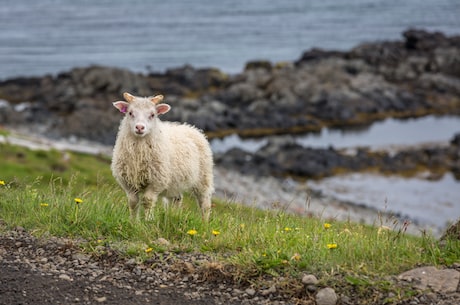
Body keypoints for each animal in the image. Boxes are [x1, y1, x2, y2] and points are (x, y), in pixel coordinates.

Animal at [111, 91, 214, 220]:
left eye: (152, 115)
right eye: (130, 113)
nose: (139, 127)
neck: (139, 154)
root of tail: (192, 127)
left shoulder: (156, 180)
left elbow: (148, 201)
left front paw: (148, 220)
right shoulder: (128, 182)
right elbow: (133, 202)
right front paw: (133, 221)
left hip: (203, 177)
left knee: (205, 203)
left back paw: (204, 222)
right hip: (175, 183)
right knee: (177, 199)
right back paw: (173, 216)